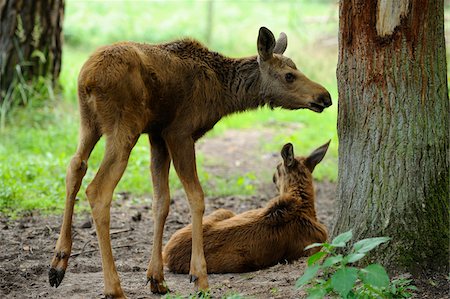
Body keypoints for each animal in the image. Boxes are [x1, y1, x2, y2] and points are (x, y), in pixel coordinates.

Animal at [163, 142, 328, 276]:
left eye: (277, 168)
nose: (273, 177)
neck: (305, 205)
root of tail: (166, 254)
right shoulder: (314, 247)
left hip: (223, 211)